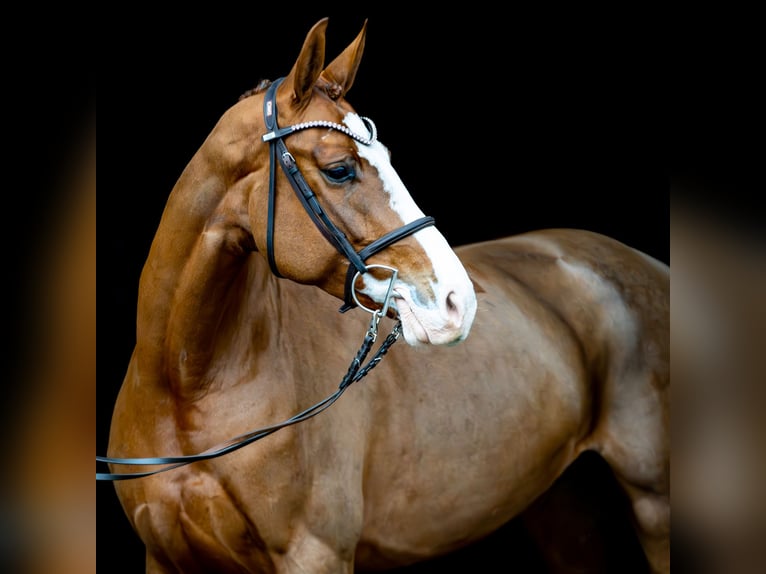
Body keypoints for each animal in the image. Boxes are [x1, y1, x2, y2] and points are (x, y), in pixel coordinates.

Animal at [99, 18, 668, 574]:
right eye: (339, 169)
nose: (458, 302)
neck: (188, 390)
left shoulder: (316, 554)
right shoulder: (163, 558)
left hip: (652, 504)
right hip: (564, 506)